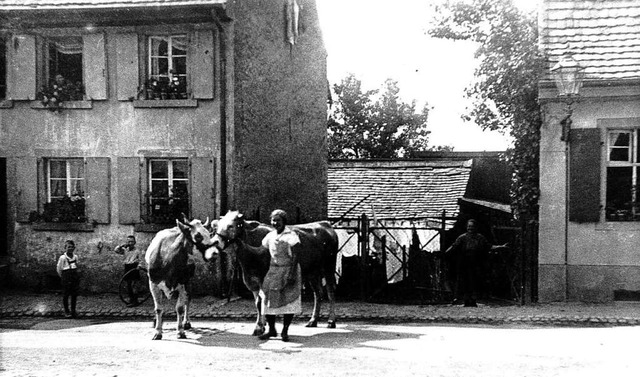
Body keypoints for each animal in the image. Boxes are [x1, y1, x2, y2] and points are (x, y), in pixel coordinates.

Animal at [202, 210, 338, 336]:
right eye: (217, 226)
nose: (215, 242)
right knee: (318, 293)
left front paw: (259, 327)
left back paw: (331, 321)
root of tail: (325, 223)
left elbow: (261, 302)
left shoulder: (264, 279)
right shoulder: (251, 280)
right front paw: (262, 325)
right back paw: (313, 321)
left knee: (330, 292)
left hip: (329, 266)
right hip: (312, 271)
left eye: (231, 226)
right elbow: (257, 303)